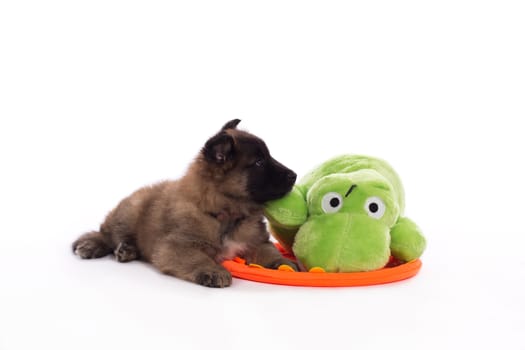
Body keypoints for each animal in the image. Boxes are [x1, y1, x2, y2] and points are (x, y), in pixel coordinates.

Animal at [71, 119, 296, 288]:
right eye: (259, 162)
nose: (293, 175)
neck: (226, 214)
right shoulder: (174, 246)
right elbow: (197, 258)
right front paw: (213, 270)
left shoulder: (256, 242)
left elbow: (269, 252)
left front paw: (285, 264)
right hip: (129, 211)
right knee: (107, 234)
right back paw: (93, 245)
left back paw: (127, 250)